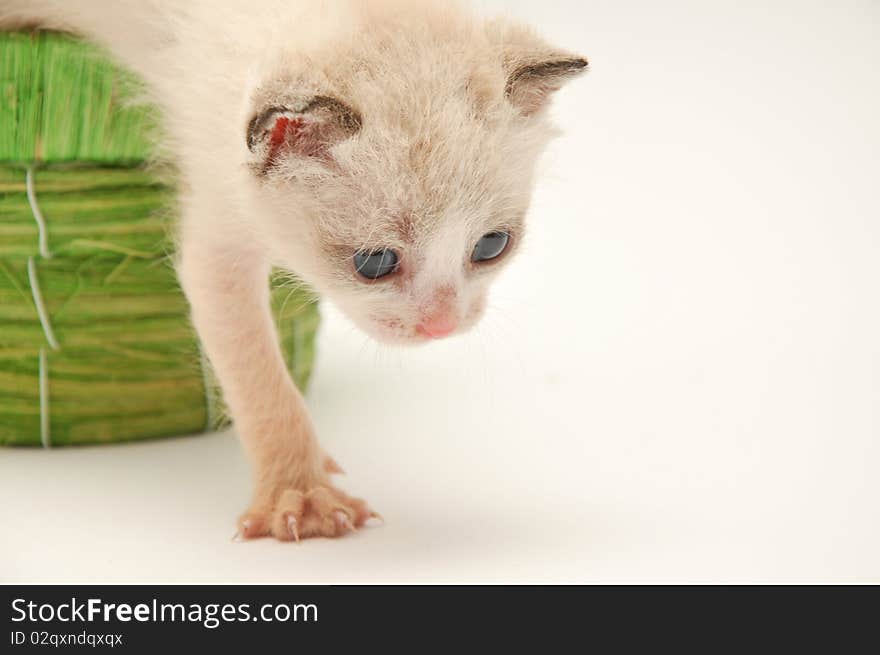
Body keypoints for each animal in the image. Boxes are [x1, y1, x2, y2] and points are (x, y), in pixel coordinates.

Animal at [5, 0, 592, 540]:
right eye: (375, 262)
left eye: (491, 246)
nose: (441, 325)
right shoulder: (217, 221)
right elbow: (259, 378)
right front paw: (302, 495)